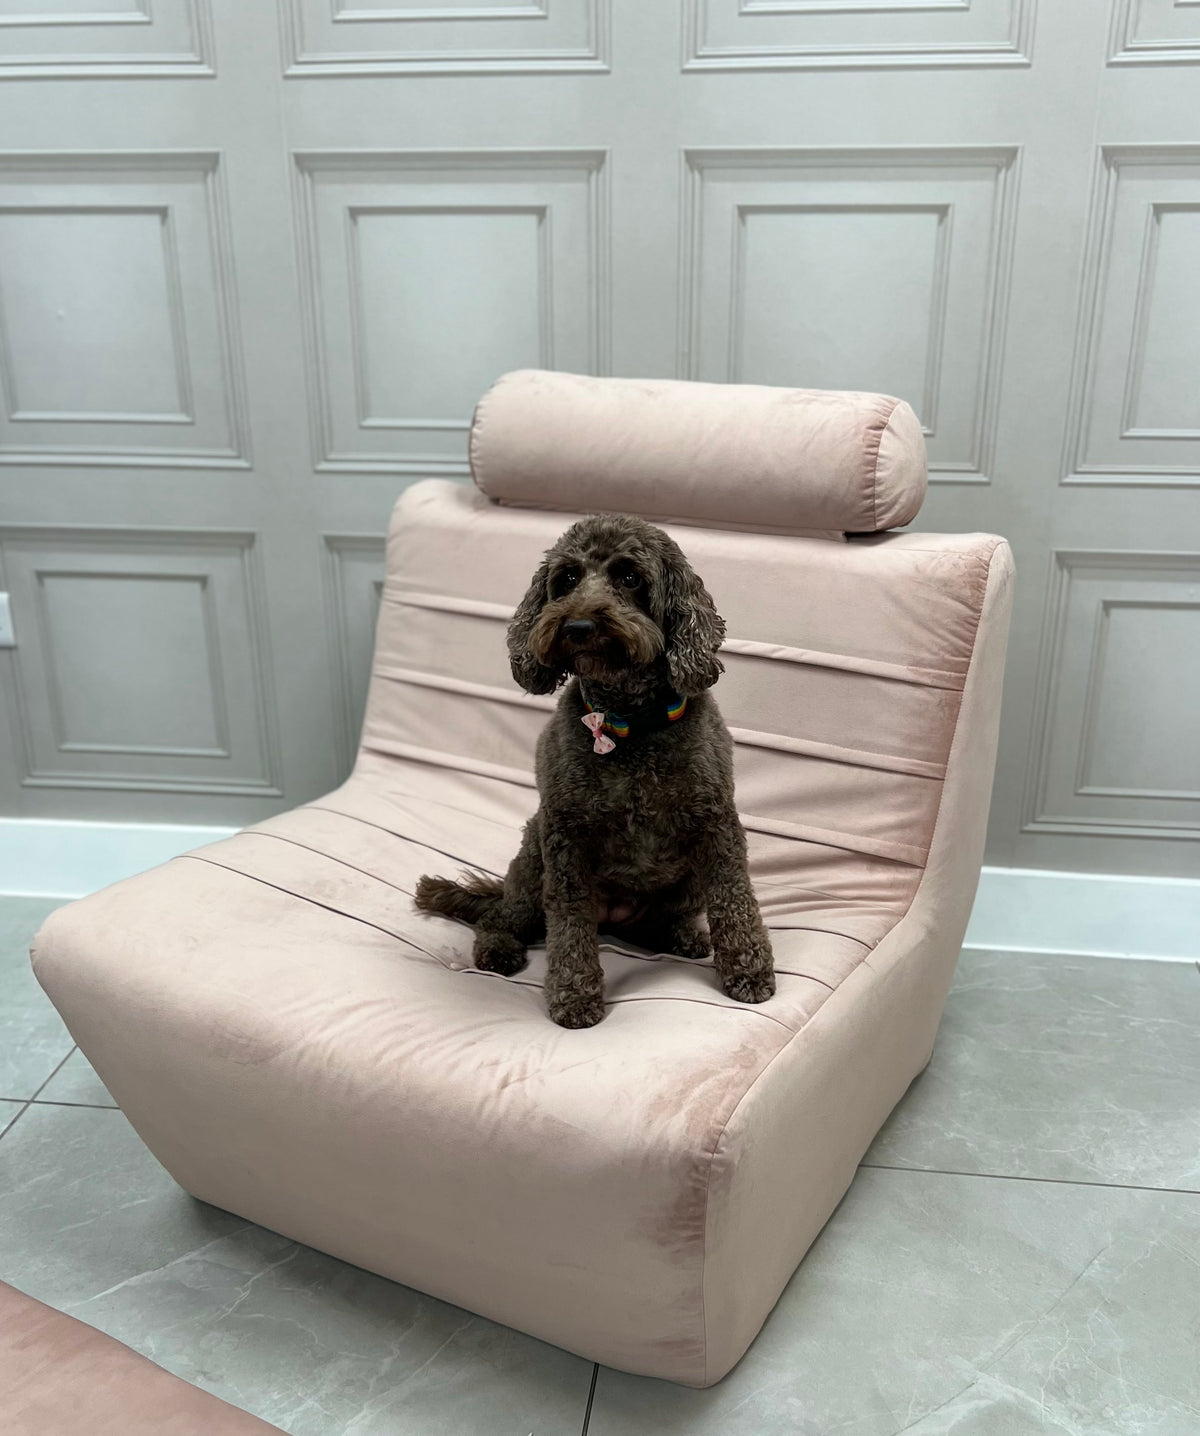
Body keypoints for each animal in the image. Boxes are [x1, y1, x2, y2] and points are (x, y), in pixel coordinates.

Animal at [413, 511, 775, 1028]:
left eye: (630, 577)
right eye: (566, 579)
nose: (579, 625)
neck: (629, 725)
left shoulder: (717, 824)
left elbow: (736, 902)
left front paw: (748, 971)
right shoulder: (566, 837)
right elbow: (569, 928)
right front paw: (574, 997)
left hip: (686, 881)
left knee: (658, 923)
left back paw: (679, 936)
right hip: (533, 857)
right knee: (502, 916)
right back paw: (498, 947)